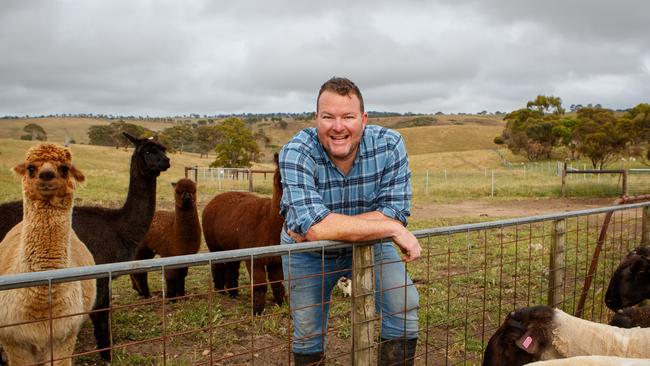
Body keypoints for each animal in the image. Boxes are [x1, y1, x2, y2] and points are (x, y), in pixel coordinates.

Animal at [201, 153, 284, 316]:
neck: (268, 224)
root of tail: (213, 200)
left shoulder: (276, 259)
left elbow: (278, 283)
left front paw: (283, 305)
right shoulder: (255, 257)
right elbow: (259, 285)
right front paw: (257, 311)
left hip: (232, 245)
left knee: (232, 266)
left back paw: (233, 292)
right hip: (213, 242)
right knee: (217, 264)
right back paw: (220, 290)